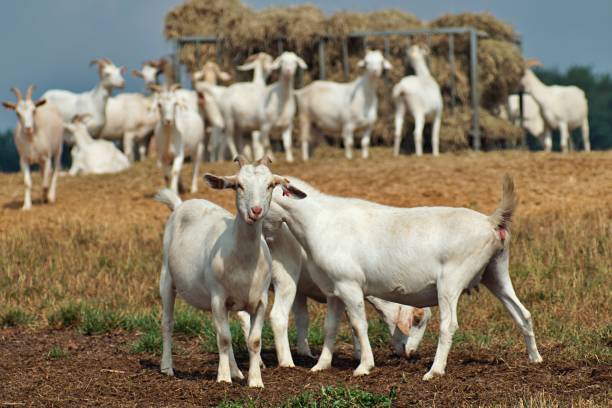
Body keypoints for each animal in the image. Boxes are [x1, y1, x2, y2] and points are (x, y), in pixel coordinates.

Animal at [153, 155, 306, 388]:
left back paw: (237, 372)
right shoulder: (218, 296)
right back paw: (167, 367)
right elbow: (224, 338)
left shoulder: (259, 300)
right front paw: (223, 378)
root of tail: (180, 204)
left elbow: (253, 341)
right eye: (239, 185)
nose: (256, 211)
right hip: (167, 278)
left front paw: (255, 380)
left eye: (270, 185)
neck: (243, 260)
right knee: (168, 323)